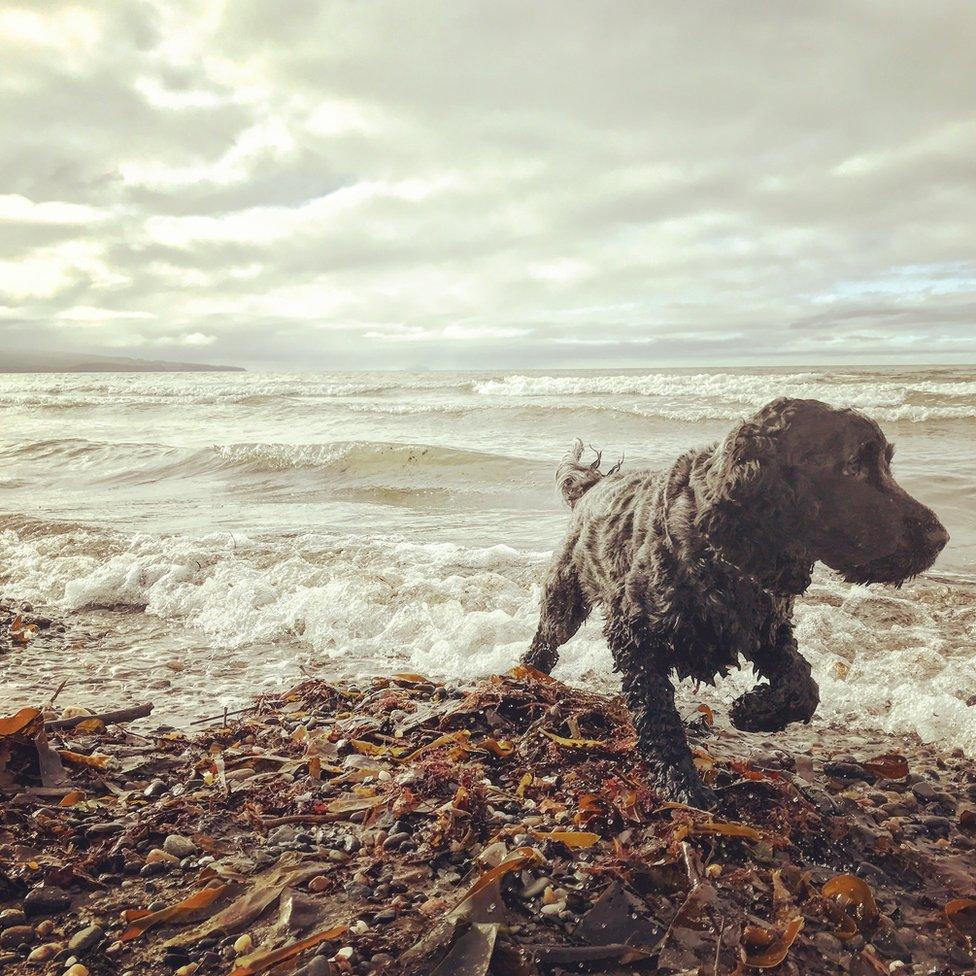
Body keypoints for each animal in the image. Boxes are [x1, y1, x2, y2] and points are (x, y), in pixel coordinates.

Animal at [524, 396, 948, 808]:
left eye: (885, 462)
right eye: (853, 466)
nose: (941, 537)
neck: (720, 552)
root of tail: (593, 485)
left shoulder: (769, 632)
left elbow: (803, 685)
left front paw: (752, 711)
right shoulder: (635, 636)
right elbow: (659, 717)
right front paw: (681, 784)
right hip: (564, 599)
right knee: (545, 642)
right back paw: (528, 677)